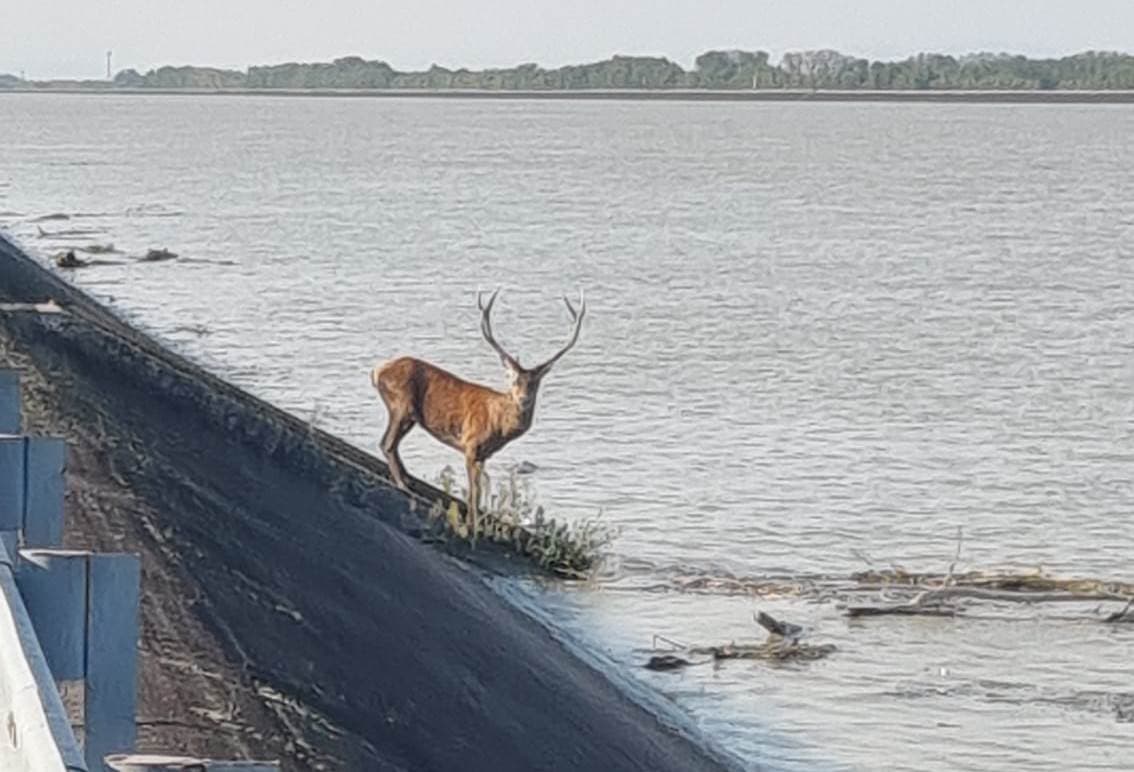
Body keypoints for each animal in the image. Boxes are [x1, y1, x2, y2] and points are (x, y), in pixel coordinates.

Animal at [369, 285, 585, 539]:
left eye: (535, 383)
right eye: (513, 380)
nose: (523, 399)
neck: (498, 426)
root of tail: (376, 371)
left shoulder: (484, 455)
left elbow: (479, 492)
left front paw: (478, 522)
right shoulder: (470, 444)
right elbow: (474, 492)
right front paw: (473, 525)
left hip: (409, 415)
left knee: (390, 443)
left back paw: (407, 480)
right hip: (401, 405)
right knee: (387, 443)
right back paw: (402, 485)